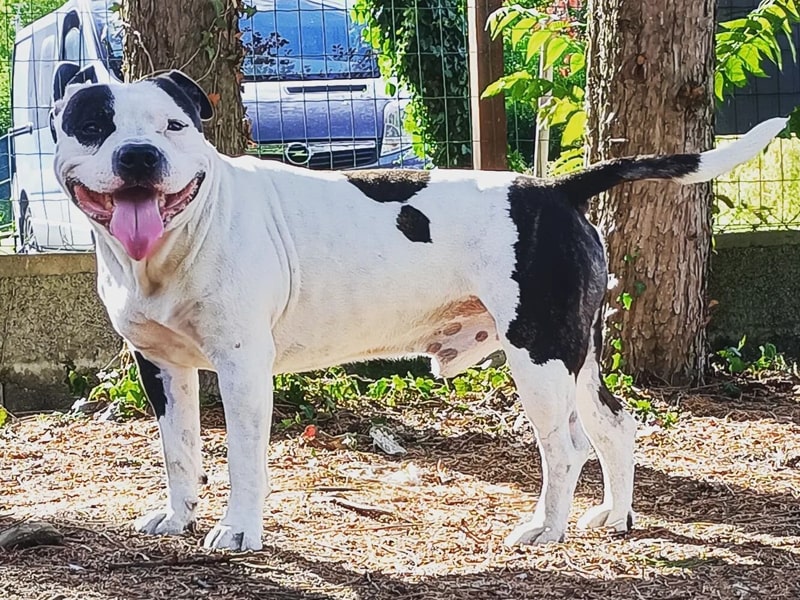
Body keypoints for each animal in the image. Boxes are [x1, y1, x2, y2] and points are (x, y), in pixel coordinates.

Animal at [51, 63, 788, 552]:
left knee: (566, 446)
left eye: (175, 126)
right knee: (614, 424)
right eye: (91, 125)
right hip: (575, 352)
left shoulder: (241, 369)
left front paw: (237, 531)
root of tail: (555, 188)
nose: (139, 156)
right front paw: (178, 517)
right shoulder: (162, 366)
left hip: (539, 354)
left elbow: (243, 458)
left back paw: (544, 529)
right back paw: (614, 517)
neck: (181, 236)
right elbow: (178, 451)